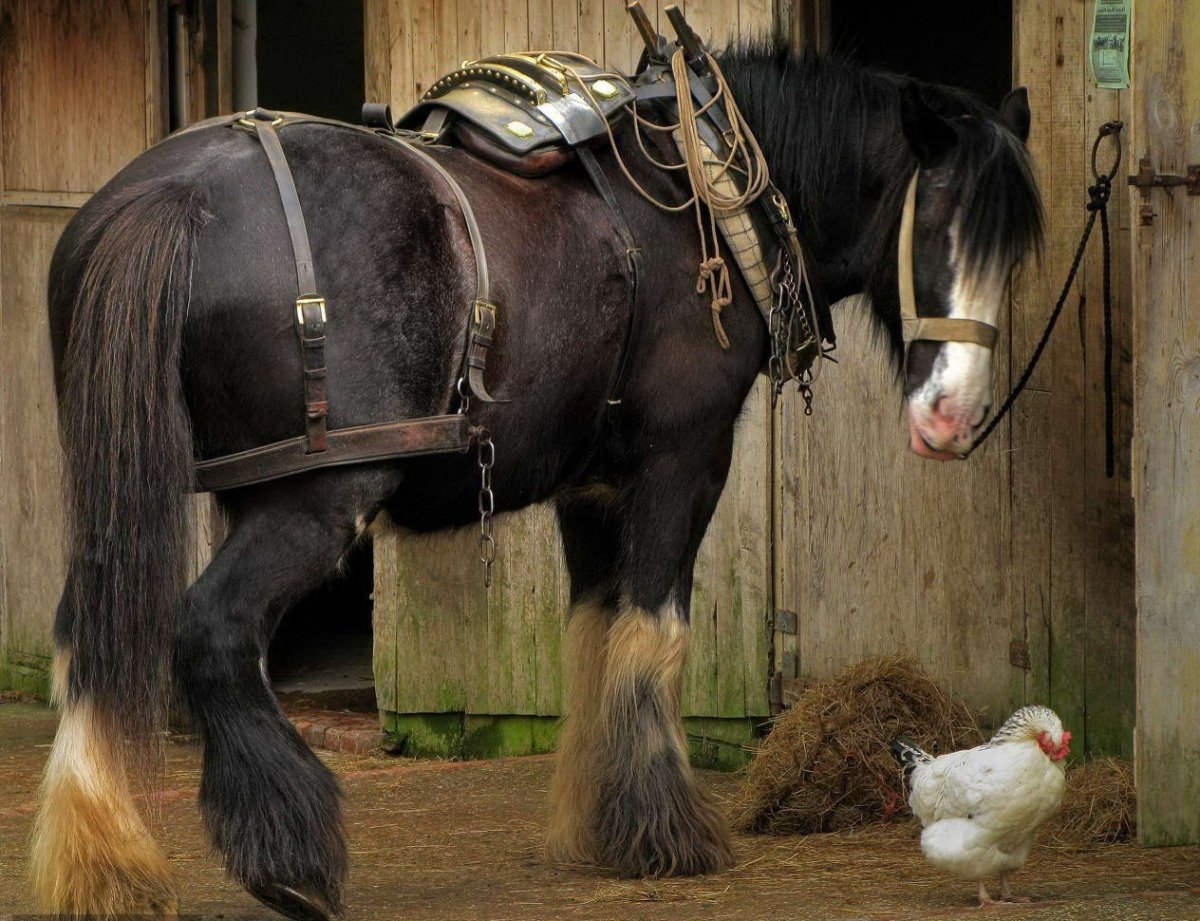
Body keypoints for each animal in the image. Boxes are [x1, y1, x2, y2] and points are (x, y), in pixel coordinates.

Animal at [29, 42, 1041, 920]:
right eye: (937, 224)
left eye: (1017, 249)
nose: (952, 417)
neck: (700, 192)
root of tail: (172, 194)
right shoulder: (685, 457)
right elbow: (654, 633)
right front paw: (664, 831)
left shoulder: (590, 487)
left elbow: (595, 635)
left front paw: (597, 823)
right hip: (317, 496)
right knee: (212, 628)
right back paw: (289, 858)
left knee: (87, 635)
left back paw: (103, 863)